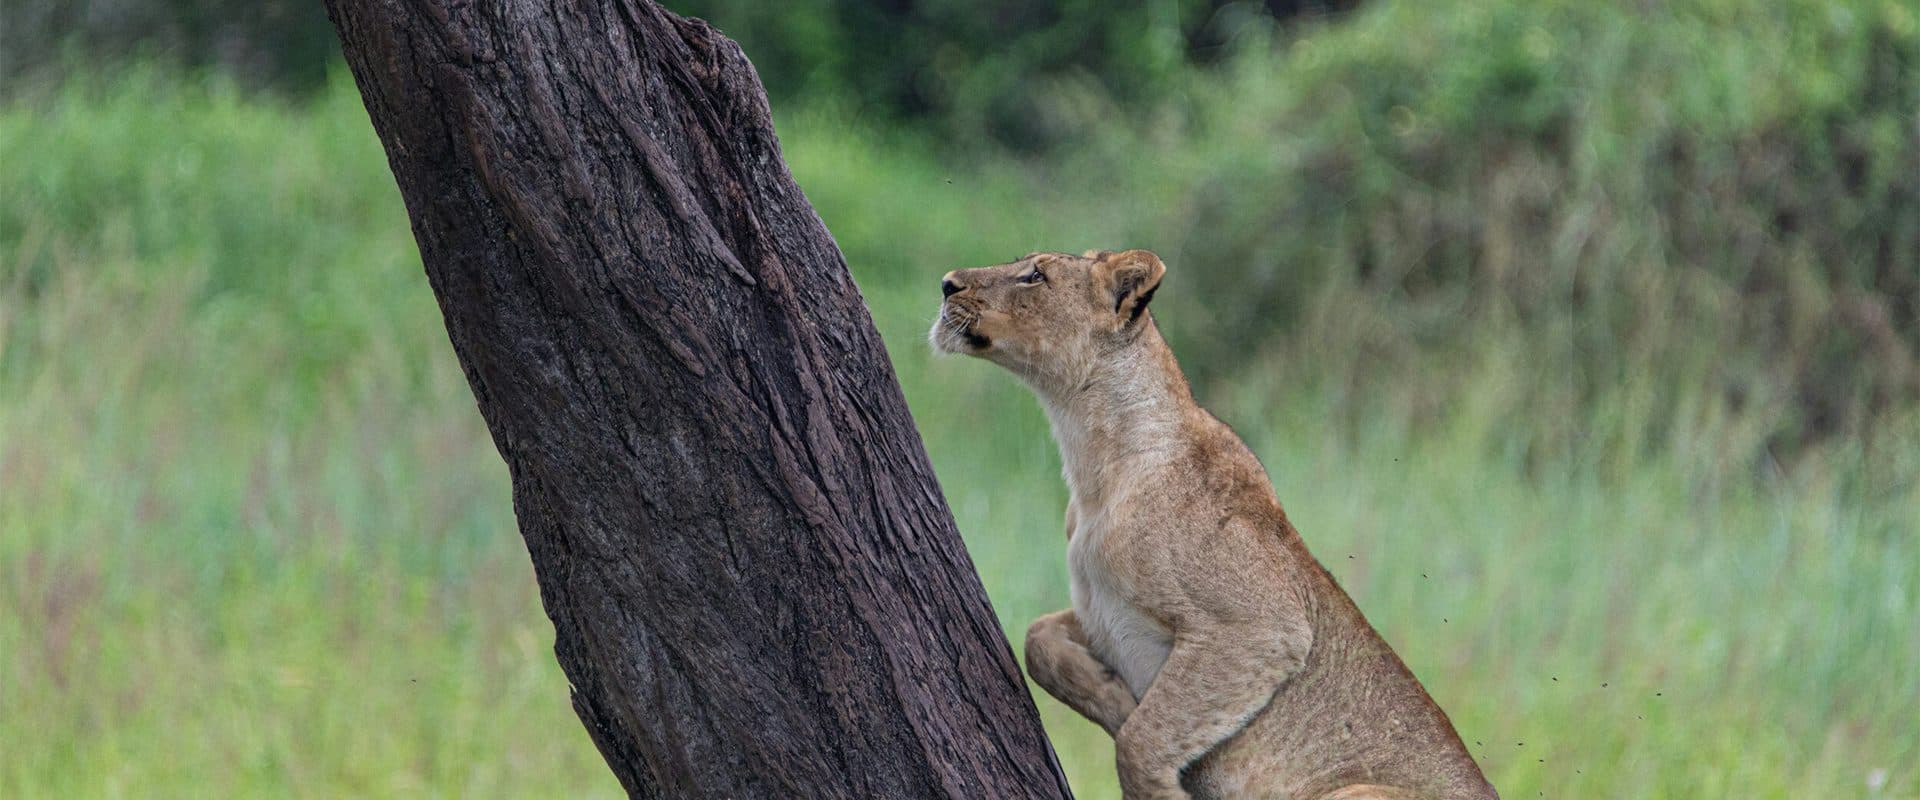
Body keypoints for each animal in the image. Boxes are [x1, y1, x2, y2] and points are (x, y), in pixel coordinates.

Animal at [930, 250, 1496, 800]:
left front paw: (1156, 780)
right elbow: (1036, 639)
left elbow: (1141, 739)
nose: (947, 283)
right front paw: (1114, 696)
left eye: (1034, 276)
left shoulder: (1262, 626)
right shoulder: (1099, 612)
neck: (1094, 464)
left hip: (1352, 791)